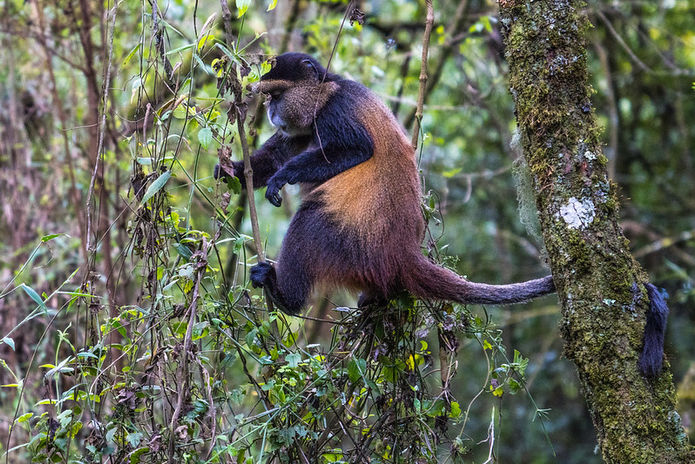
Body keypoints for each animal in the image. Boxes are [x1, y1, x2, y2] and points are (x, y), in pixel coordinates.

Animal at [215, 52, 668, 376]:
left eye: (276, 95)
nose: (271, 112)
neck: (327, 90)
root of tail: (402, 253)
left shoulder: (335, 110)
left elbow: (355, 150)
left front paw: (283, 178)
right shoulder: (305, 126)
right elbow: (279, 152)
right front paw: (234, 170)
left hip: (345, 240)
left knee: (311, 220)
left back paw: (284, 293)